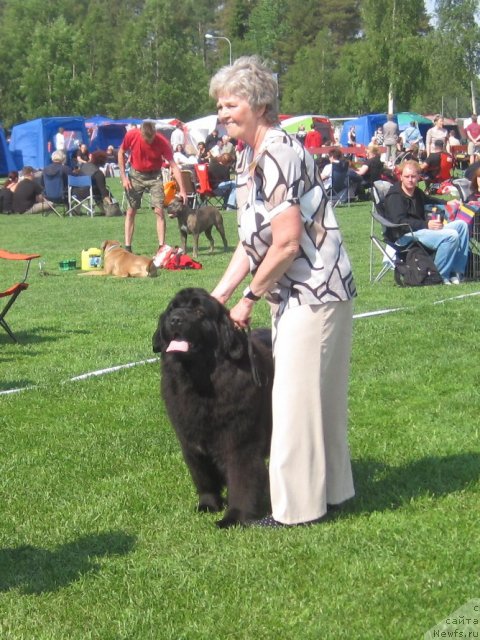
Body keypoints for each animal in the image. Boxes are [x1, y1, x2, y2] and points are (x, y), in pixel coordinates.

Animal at [154, 288, 274, 528]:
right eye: (172, 308)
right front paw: (208, 505)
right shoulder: (190, 441)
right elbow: (203, 476)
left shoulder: (240, 442)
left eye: (199, 312)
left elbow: (241, 480)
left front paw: (233, 517)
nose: (175, 319)